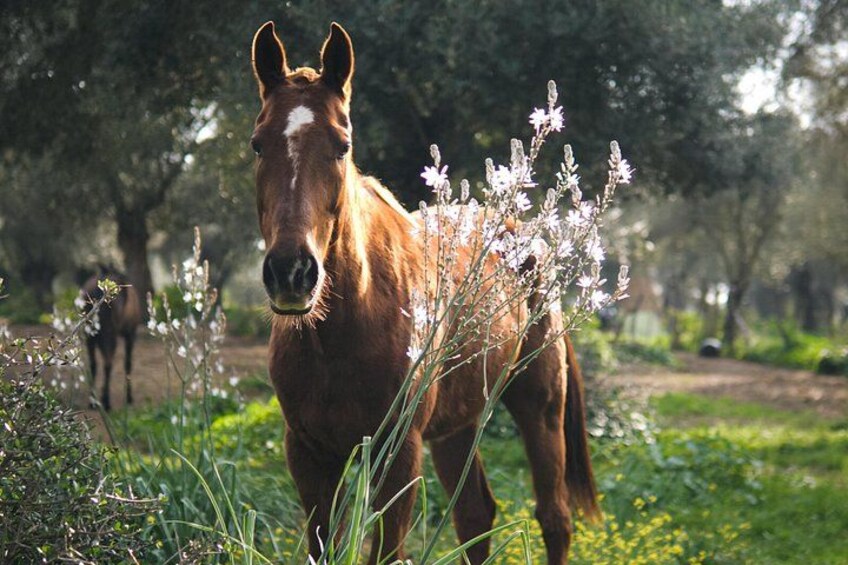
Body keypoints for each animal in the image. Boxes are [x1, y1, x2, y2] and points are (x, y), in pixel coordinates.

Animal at [80, 267, 142, 411]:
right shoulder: (131, 333)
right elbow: (128, 363)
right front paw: (129, 397)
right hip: (110, 331)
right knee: (108, 362)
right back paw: (105, 401)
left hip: (93, 333)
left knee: (96, 363)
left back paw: (95, 400)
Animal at [250, 21, 598, 564]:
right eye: (257, 144)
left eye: (342, 145)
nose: (292, 272)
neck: (342, 331)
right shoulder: (308, 454)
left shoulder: (397, 454)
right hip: (457, 427)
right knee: (475, 513)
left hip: (540, 409)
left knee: (554, 519)